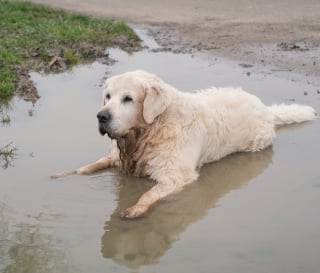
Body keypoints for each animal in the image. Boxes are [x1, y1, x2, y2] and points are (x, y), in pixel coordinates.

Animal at [52, 69, 316, 217]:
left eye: (128, 98)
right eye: (107, 96)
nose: (101, 116)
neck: (148, 131)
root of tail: (265, 108)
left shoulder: (176, 174)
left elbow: (149, 193)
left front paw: (135, 209)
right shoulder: (116, 156)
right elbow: (87, 167)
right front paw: (62, 175)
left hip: (256, 141)